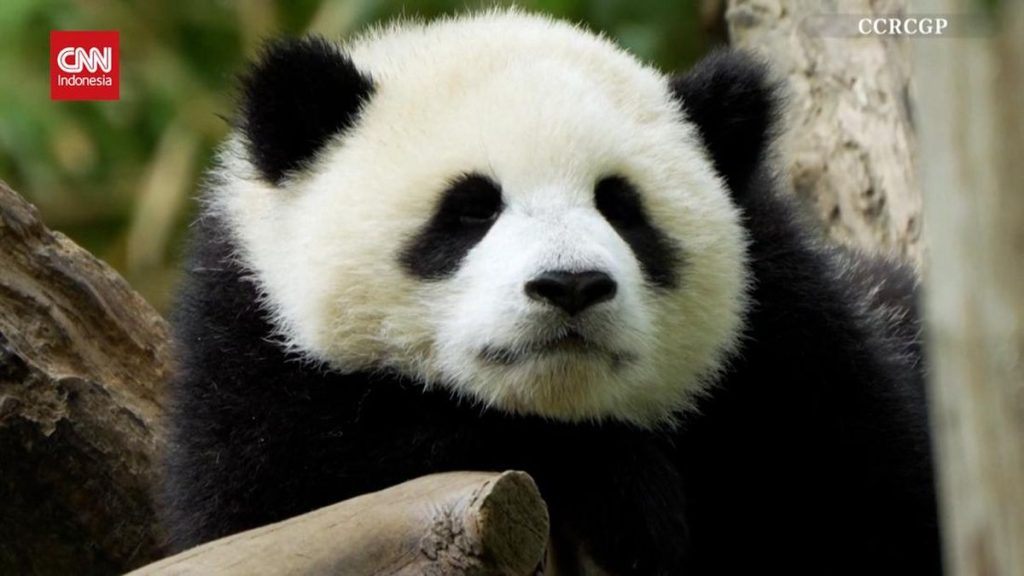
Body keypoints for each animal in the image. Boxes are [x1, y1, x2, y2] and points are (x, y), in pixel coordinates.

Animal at [161, 10, 941, 575]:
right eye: (470, 208)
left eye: (622, 205)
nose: (571, 286)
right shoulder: (245, 343)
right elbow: (289, 488)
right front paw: (623, 490)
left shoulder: (800, 351)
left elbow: (880, 506)